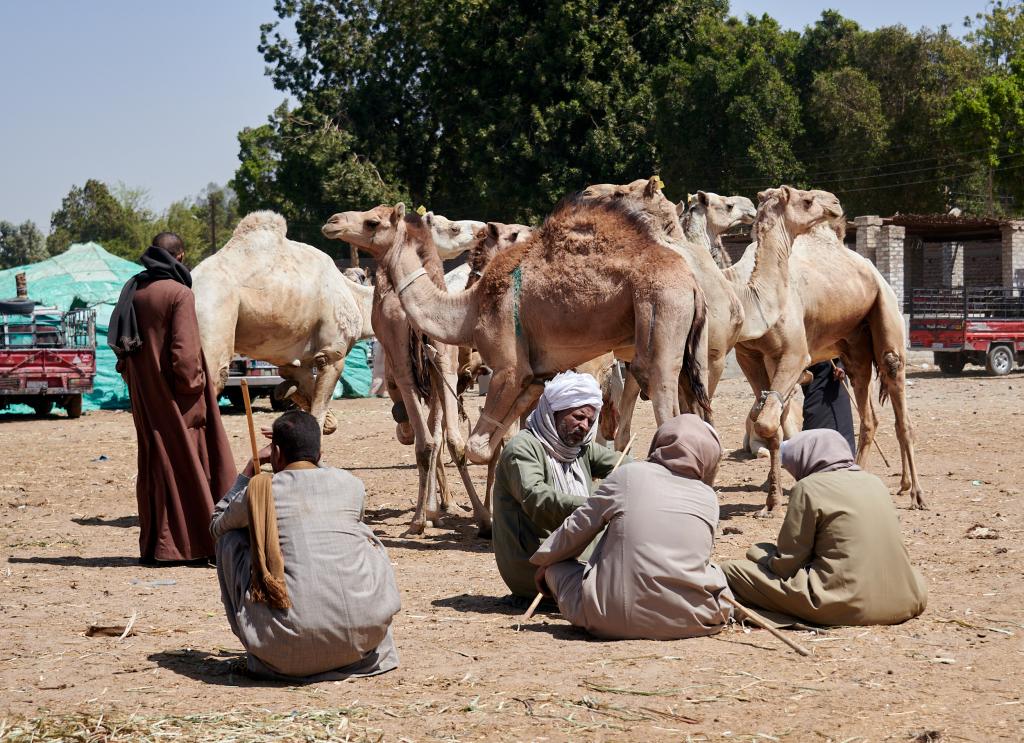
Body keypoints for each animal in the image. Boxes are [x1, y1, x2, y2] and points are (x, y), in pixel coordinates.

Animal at [191, 209, 372, 433]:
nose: (333, 222)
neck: (354, 296)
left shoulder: (297, 362)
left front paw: (288, 393)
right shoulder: (332, 353)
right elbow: (319, 413)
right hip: (212, 313)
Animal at [325, 196, 712, 466]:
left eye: (372, 222)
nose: (332, 221)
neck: (466, 310)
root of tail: (693, 283)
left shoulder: (507, 367)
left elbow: (478, 447)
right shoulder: (534, 374)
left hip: (660, 310)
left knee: (658, 386)